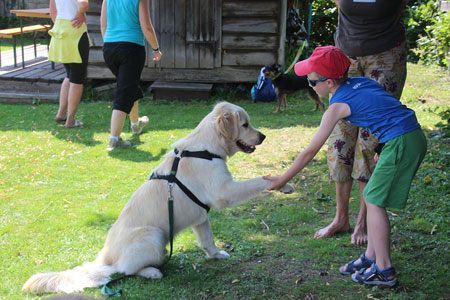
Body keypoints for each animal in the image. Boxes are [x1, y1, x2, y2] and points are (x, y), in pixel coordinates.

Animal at [22, 102, 294, 294]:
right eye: (245, 125)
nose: (263, 137)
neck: (207, 148)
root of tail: (104, 256)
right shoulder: (224, 193)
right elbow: (258, 181)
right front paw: (283, 183)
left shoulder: (200, 214)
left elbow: (207, 239)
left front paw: (216, 255)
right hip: (154, 235)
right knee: (124, 270)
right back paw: (152, 272)